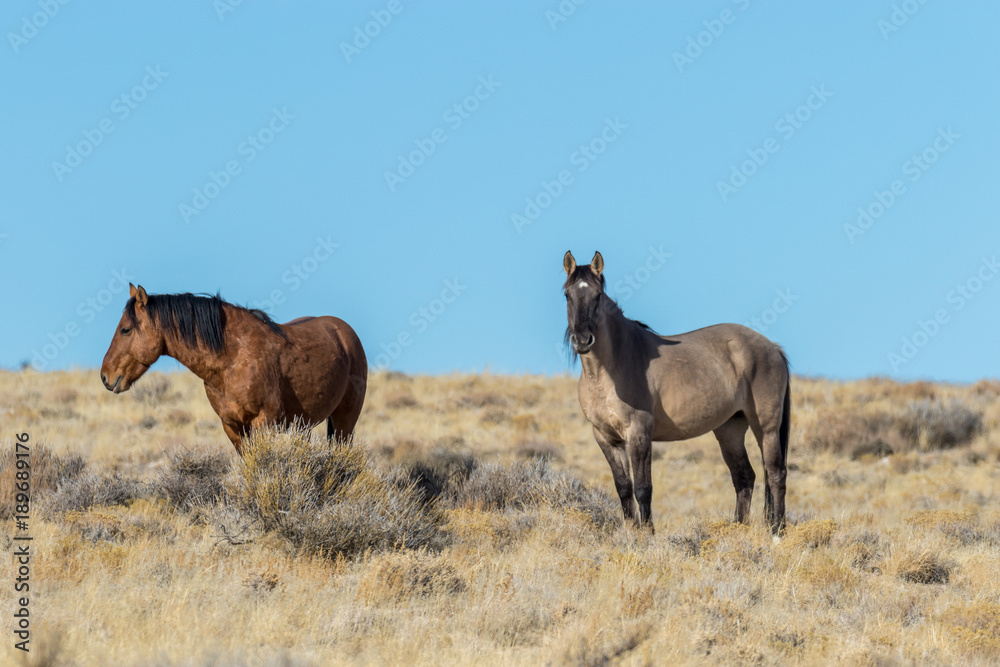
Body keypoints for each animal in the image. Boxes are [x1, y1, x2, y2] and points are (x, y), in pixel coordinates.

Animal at [100, 284, 367, 453]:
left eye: (126, 329)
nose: (105, 376)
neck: (232, 357)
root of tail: (345, 332)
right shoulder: (232, 427)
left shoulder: (265, 423)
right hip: (303, 425)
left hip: (344, 422)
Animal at [562, 251, 791, 534]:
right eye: (567, 295)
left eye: (597, 295)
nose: (583, 340)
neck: (611, 368)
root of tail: (772, 347)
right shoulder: (606, 438)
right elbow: (624, 488)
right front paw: (630, 533)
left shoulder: (639, 433)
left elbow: (643, 488)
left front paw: (647, 534)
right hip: (730, 429)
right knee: (744, 477)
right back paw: (737, 529)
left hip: (766, 428)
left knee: (776, 474)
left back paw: (776, 532)